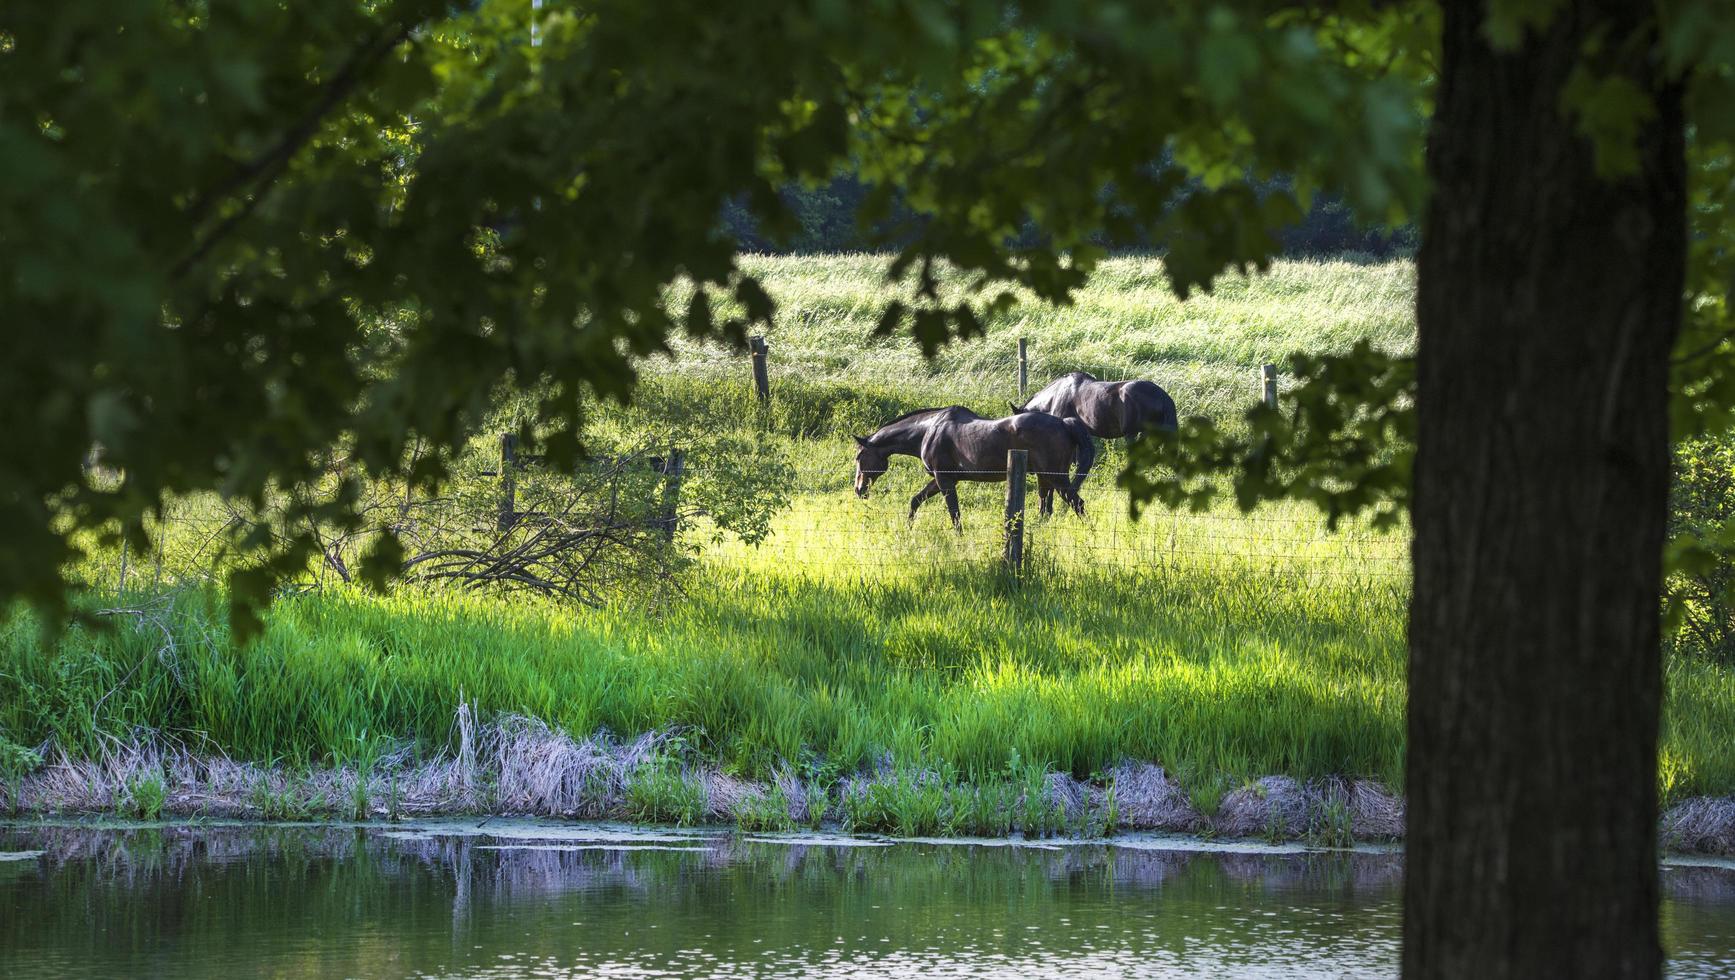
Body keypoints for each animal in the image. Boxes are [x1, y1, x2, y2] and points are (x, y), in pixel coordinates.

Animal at [853, 405, 1096, 527]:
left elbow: (955, 514)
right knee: (1046, 510)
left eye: (859, 457)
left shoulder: (944, 480)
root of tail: (1064, 423)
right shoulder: (943, 479)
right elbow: (915, 501)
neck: (928, 430)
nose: (859, 489)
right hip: (1044, 478)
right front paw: (908, 529)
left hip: (1056, 478)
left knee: (1078, 504)